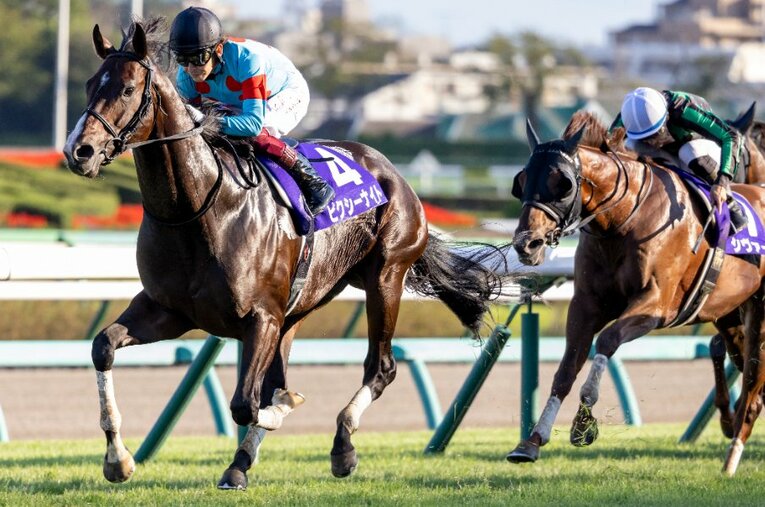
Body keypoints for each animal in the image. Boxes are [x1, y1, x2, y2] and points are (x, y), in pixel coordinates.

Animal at [62, 19, 512, 489]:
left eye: (129, 89)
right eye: (91, 84)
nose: (79, 151)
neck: (197, 210)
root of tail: (393, 173)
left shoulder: (262, 317)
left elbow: (247, 403)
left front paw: (282, 409)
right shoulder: (168, 310)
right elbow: (103, 347)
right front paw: (118, 458)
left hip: (386, 276)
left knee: (381, 366)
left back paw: (342, 446)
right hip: (303, 303)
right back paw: (242, 462)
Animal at [506, 110, 765, 476]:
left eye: (563, 183)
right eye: (522, 180)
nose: (527, 244)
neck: (623, 222)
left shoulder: (656, 306)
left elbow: (607, 341)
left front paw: (583, 422)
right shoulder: (586, 305)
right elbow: (566, 369)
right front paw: (531, 441)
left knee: (755, 381)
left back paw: (732, 455)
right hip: (730, 313)